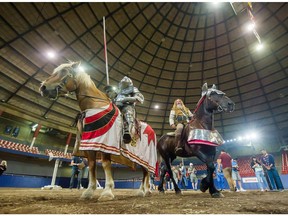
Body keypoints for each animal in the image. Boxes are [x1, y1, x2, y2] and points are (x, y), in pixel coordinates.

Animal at [39, 61, 156, 200]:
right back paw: (142, 190)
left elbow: (105, 164)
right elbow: (92, 166)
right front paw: (89, 191)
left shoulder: (105, 143)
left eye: (64, 72)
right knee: (145, 173)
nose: (43, 87)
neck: (95, 105)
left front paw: (107, 192)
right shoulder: (90, 144)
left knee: (146, 172)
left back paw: (145, 191)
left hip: (146, 157)